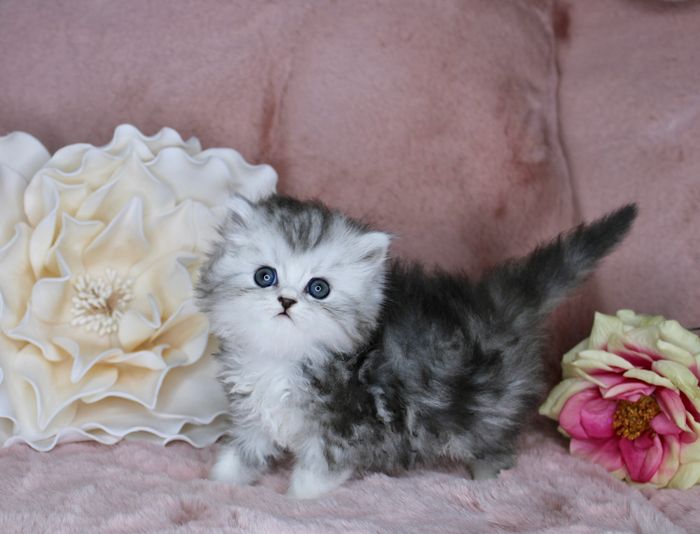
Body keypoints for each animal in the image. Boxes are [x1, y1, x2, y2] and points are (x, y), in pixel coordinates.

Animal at [196, 194, 637, 499]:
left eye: (318, 288)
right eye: (265, 276)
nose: (286, 301)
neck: (285, 358)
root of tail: (493, 303)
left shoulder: (345, 426)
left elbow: (315, 474)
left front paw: (295, 501)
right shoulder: (255, 412)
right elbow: (243, 452)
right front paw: (219, 483)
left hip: (483, 405)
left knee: (495, 444)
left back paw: (488, 480)